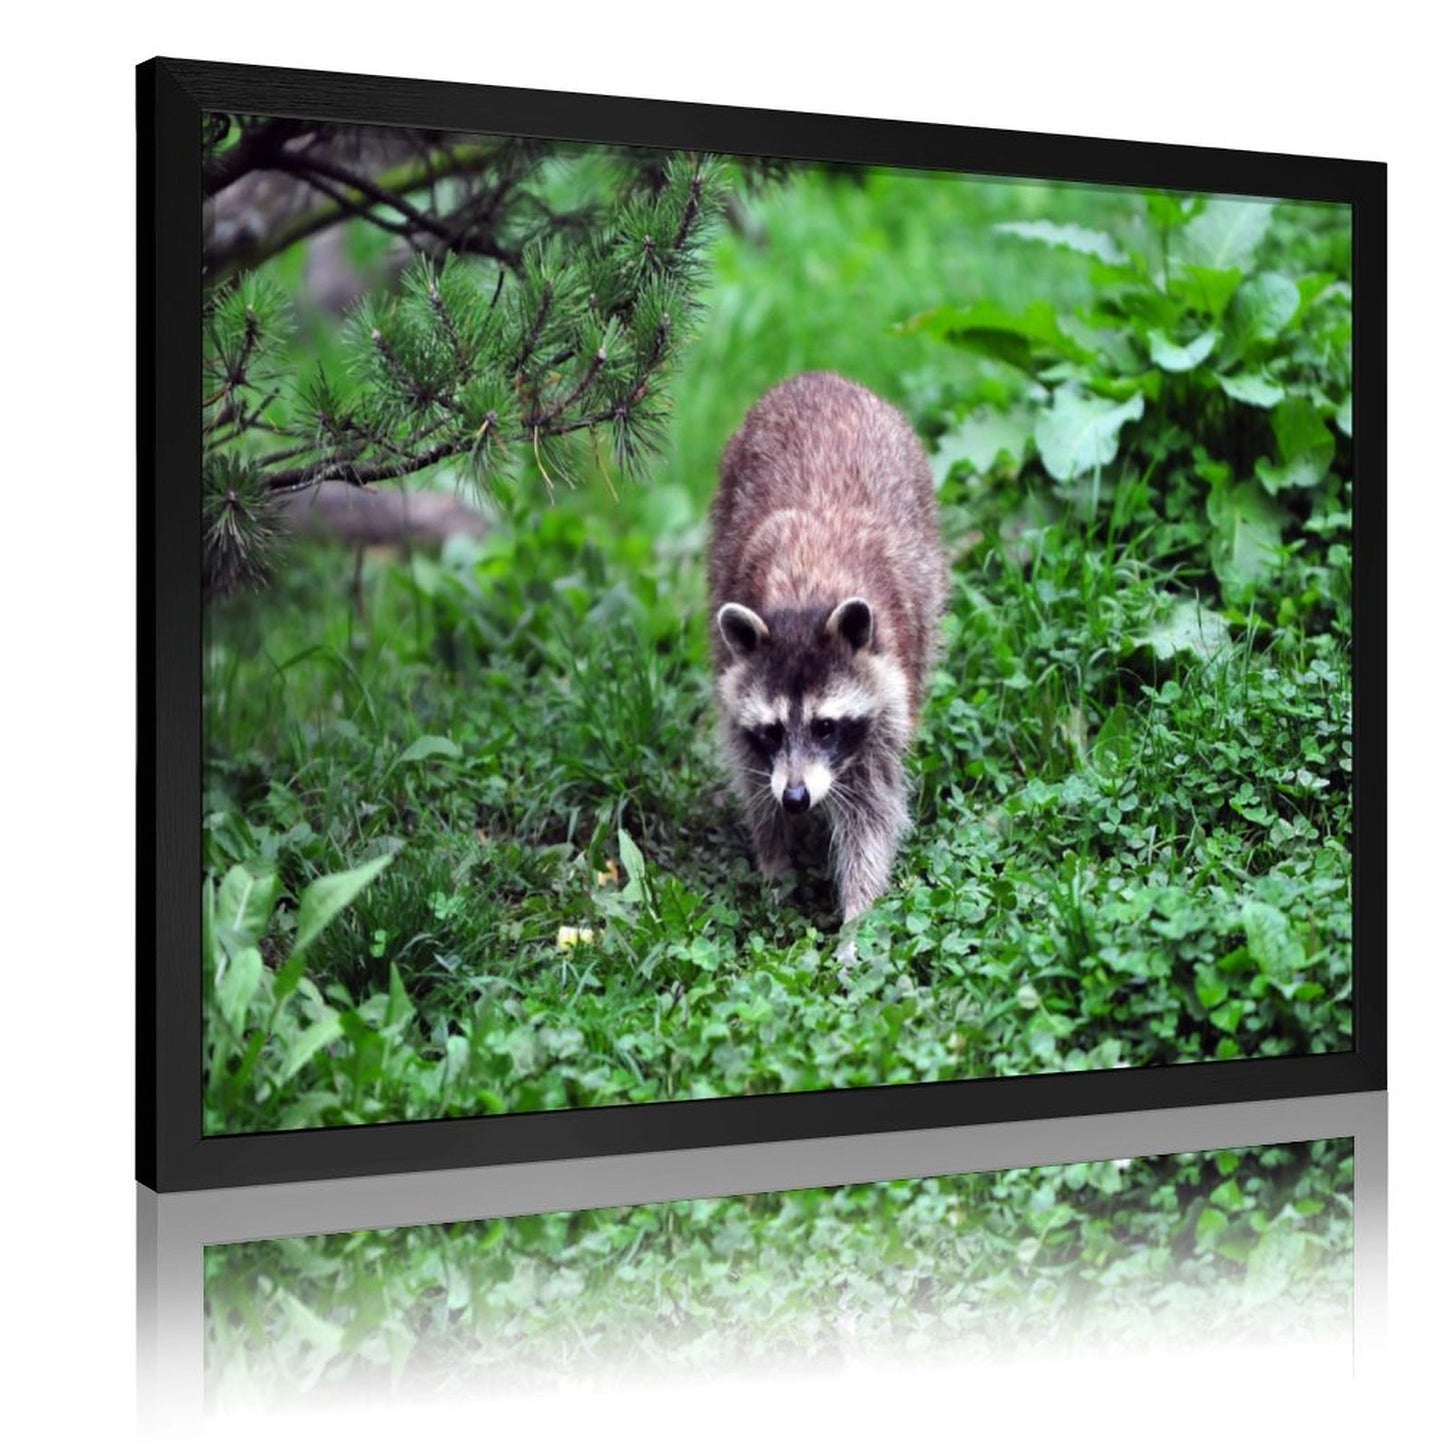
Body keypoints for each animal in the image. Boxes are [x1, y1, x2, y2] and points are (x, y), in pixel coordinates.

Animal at [707, 371, 947, 922]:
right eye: (772, 730)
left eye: (824, 726)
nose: (796, 796)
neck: (804, 598)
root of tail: (817, 377)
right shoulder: (735, 689)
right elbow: (756, 784)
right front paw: (775, 863)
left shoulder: (886, 693)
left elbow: (872, 812)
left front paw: (859, 915)